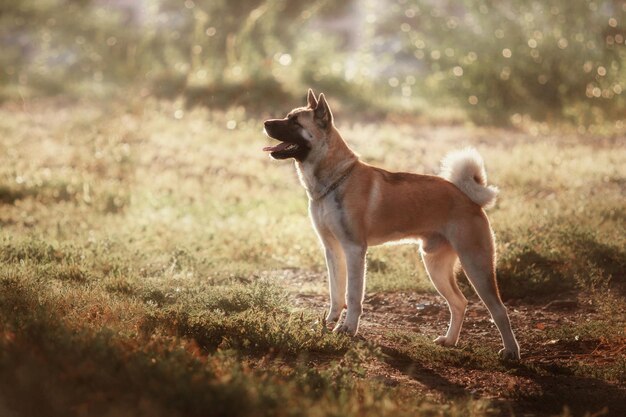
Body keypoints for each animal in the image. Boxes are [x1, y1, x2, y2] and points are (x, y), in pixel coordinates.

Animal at [260, 89, 520, 360]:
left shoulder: (354, 250)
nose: (265, 123)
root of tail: (469, 198)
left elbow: (353, 295)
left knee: (499, 310)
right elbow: (336, 293)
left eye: (295, 122)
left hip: (476, 265)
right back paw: (450, 340)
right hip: (435, 266)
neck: (335, 179)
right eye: (288, 116)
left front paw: (347, 328)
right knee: (459, 303)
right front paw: (329, 322)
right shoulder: (332, 250)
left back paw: (511, 351)